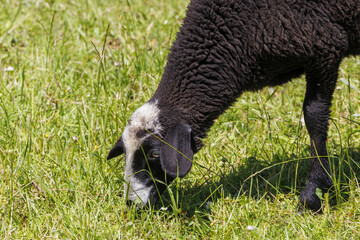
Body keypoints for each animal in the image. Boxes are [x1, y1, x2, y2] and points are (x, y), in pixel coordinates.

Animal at [107, 0, 360, 211]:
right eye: (126, 152)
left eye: (155, 154)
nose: (131, 203)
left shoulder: (325, 47)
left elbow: (314, 116)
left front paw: (313, 194)